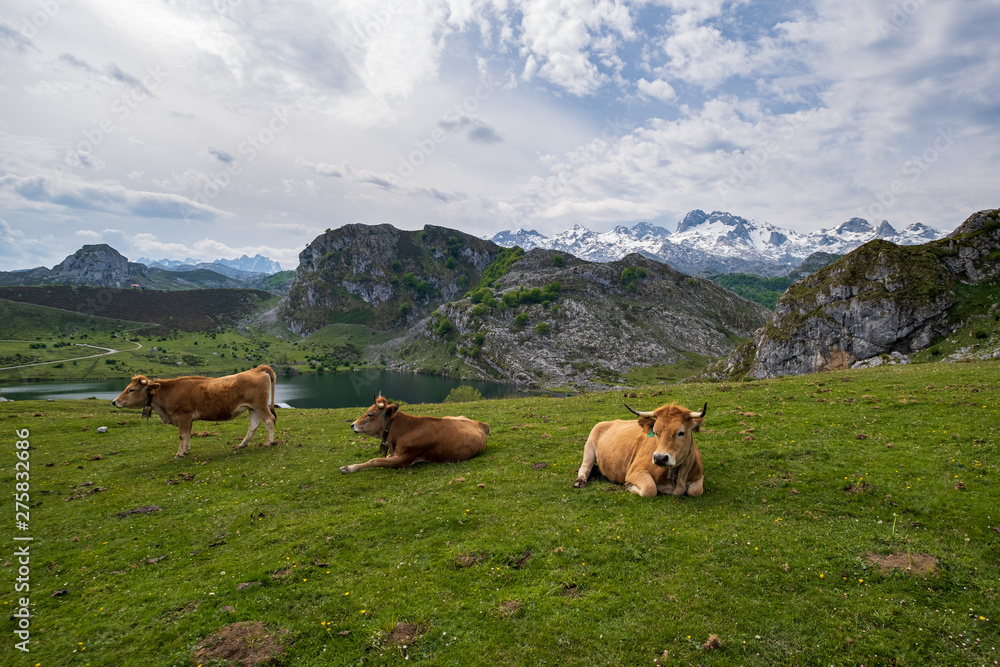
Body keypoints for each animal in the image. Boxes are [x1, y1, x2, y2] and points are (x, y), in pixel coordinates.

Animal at [111, 364, 277, 458]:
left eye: (131, 389)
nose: (114, 401)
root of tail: (257, 369)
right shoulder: (187, 418)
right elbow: (188, 434)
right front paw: (187, 450)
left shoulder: (183, 415)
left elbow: (182, 435)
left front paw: (180, 453)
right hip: (252, 408)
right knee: (253, 425)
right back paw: (242, 444)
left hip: (260, 405)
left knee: (269, 420)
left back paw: (269, 443)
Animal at [340, 394, 489, 473]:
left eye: (370, 414)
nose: (352, 424)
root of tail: (481, 423)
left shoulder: (403, 459)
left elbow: (374, 460)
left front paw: (349, 468)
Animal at [573, 401, 707, 497]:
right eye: (655, 432)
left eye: (681, 432)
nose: (659, 458)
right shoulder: (635, 471)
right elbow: (650, 488)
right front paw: (628, 485)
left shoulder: (698, 476)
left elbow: (696, 490)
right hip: (589, 447)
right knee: (585, 468)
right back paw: (579, 481)